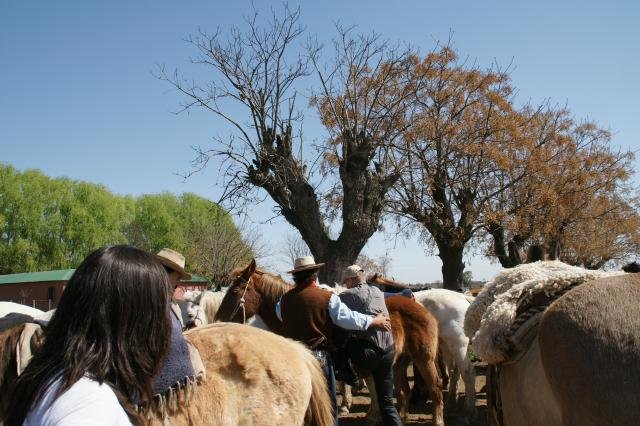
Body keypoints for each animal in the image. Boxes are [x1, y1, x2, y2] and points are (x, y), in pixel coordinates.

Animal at [215, 260, 444, 426]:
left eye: (235, 291)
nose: (218, 319)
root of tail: (422, 308)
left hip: (424, 360)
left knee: (435, 387)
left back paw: (437, 420)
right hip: (398, 364)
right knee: (403, 392)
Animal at [370, 272, 476, 416]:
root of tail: (462, 297)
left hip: (459, 346)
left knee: (468, 372)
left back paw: (469, 410)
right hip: (447, 346)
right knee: (454, 371)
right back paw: (451, 404)